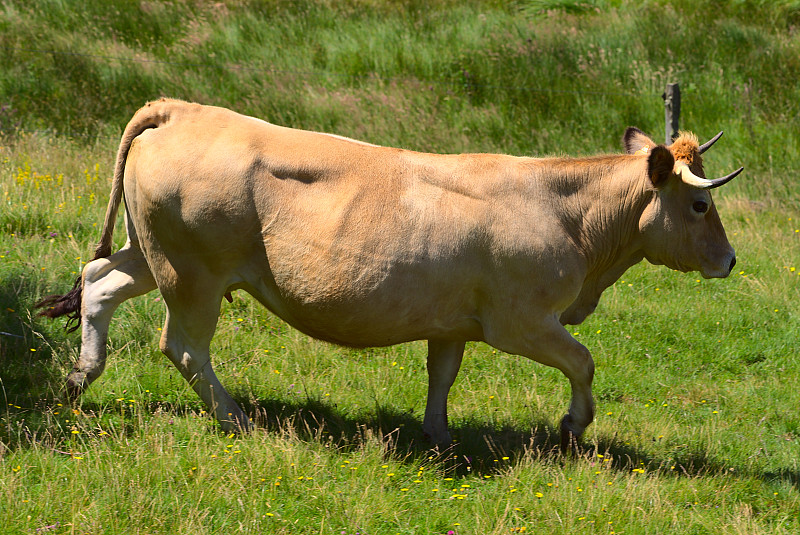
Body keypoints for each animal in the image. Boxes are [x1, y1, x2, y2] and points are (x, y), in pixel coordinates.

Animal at [40, 98, 744, 450]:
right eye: (700, 205)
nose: (731, 259)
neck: (569, 213)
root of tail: (183, 109)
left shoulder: (455, 321)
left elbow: (442, 375)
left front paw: (438, 434)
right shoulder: (520, 321)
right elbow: (583, 362)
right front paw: (573, 426)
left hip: (153, 255)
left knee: (98, 280)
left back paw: (79, 378)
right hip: (193, 275)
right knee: (184, 345)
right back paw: (237, 419)